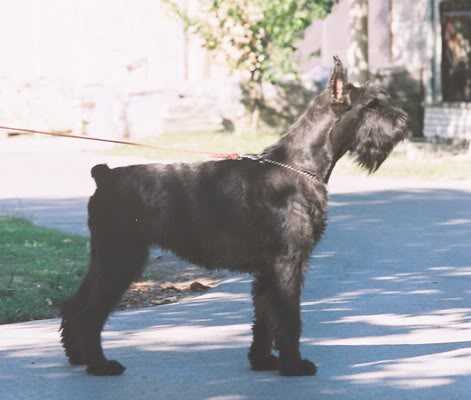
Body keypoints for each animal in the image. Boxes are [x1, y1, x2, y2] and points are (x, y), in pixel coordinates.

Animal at [61, 57, 410, 378]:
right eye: (371, 104)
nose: (404, 120)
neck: (300, 165)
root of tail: (105, 175)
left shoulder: (268, 268)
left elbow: (265, 317)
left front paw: (264, 360)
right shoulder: (287, 261)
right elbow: (288, 316)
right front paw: (294, 365)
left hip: (106, 258)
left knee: (75, 303)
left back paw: (77, 355)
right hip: (121, 258)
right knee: (92, 311)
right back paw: (100, 364)